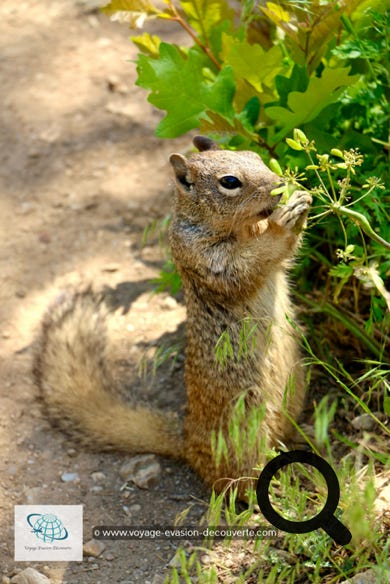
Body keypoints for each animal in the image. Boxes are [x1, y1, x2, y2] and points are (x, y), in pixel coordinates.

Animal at [35, 136, 312, 498]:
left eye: (255, 156)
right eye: (229, 182)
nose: (280, 184)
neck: (241, 226)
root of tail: (188, 441)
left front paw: (302, 199)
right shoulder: (207, 259)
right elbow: (250, 261)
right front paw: (286, 218)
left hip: (294, 389)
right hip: (243, 429)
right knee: (235, 481)